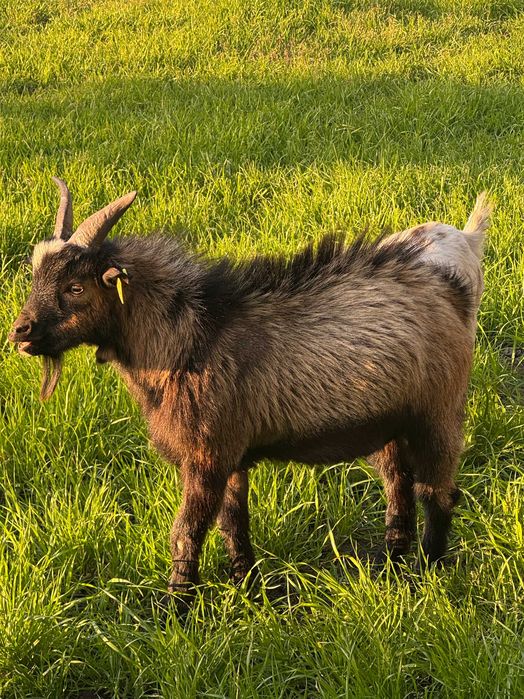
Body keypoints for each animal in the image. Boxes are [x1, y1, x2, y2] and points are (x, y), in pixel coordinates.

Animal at [9, 178, 490, 608]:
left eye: (75, 287)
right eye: (35, 278)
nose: (20, 332)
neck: (190, 338)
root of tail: (457, 267)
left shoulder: (207, 453)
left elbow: (187, 530)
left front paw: (176, 609)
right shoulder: (232, 454)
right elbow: (233, 524)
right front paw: (247, 588)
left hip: (438, 410)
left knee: (438, 491)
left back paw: (428, 569)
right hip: (386, 422)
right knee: (398, 483)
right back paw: (390, 561)